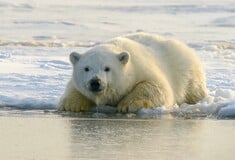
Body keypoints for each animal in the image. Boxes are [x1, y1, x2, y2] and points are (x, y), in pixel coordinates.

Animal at [57, 32, 207, 112]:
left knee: (193, 89)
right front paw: (71, 106)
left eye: (107, 68)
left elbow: (157, 87)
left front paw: (127, 105)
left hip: (186, 71)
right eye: (86, 68)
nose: (95, 82)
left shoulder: (141, 67)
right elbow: (73, 88)